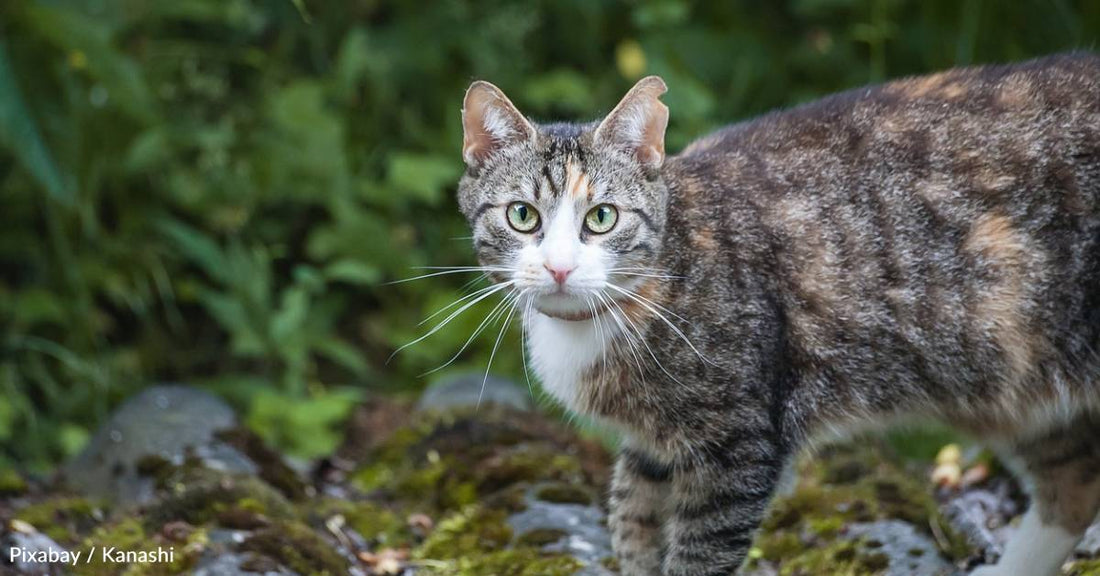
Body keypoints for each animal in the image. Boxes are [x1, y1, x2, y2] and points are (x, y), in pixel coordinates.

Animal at [453, 51, 1100, 571]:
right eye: (522, 216)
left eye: (602, 217)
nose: (559, 267)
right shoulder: (651, 450)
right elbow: (633, 529)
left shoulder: (735, 446)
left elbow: (698, 557)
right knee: (1072, 481)